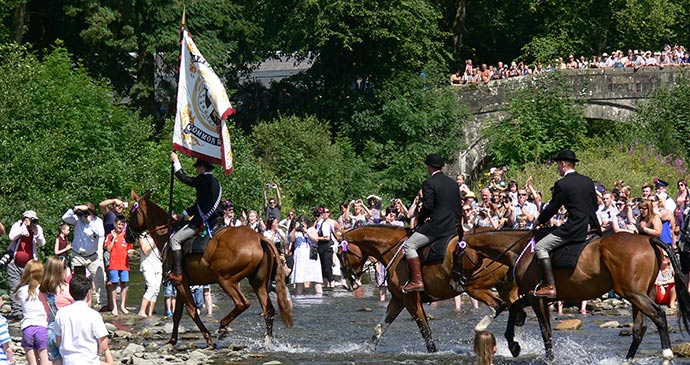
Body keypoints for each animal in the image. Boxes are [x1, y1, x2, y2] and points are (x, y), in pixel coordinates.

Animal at [125, 191, 292, 346]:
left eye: (132, 213)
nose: (127, 236)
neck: (167, 234)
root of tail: (259, 238)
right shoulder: (181, 283)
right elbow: (178, 313)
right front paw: (172, 340)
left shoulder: (180, 283)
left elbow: (191, 310)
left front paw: (207, 338)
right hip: (258, 282)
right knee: (268, 310)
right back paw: (267, 341)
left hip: (226, 280)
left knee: (242, 303)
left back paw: (223, 327)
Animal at [338, 223, 516, 352]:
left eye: (339, 254)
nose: (347, 284)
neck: (395, 250)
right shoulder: (398, 300)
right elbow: (379, 329)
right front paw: (368, 350)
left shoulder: (411, 300)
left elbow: (426, 331)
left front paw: (433, 351)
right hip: (505, 288)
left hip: (474, 286)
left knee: (498, 305)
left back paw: (480, 329)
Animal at [462, 229, 688, 362]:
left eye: (457, 252)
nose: (461, 280)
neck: (522, 250)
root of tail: (648, 239)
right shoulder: (537, 296)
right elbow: (517, 308)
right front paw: (513, 342)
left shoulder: (536, 297)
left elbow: (544, 329)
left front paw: (543, 356)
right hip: (640, 294)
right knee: (640, 328)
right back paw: (627, 360)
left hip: (633, 294)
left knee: (659, 315)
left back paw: (667, 356)